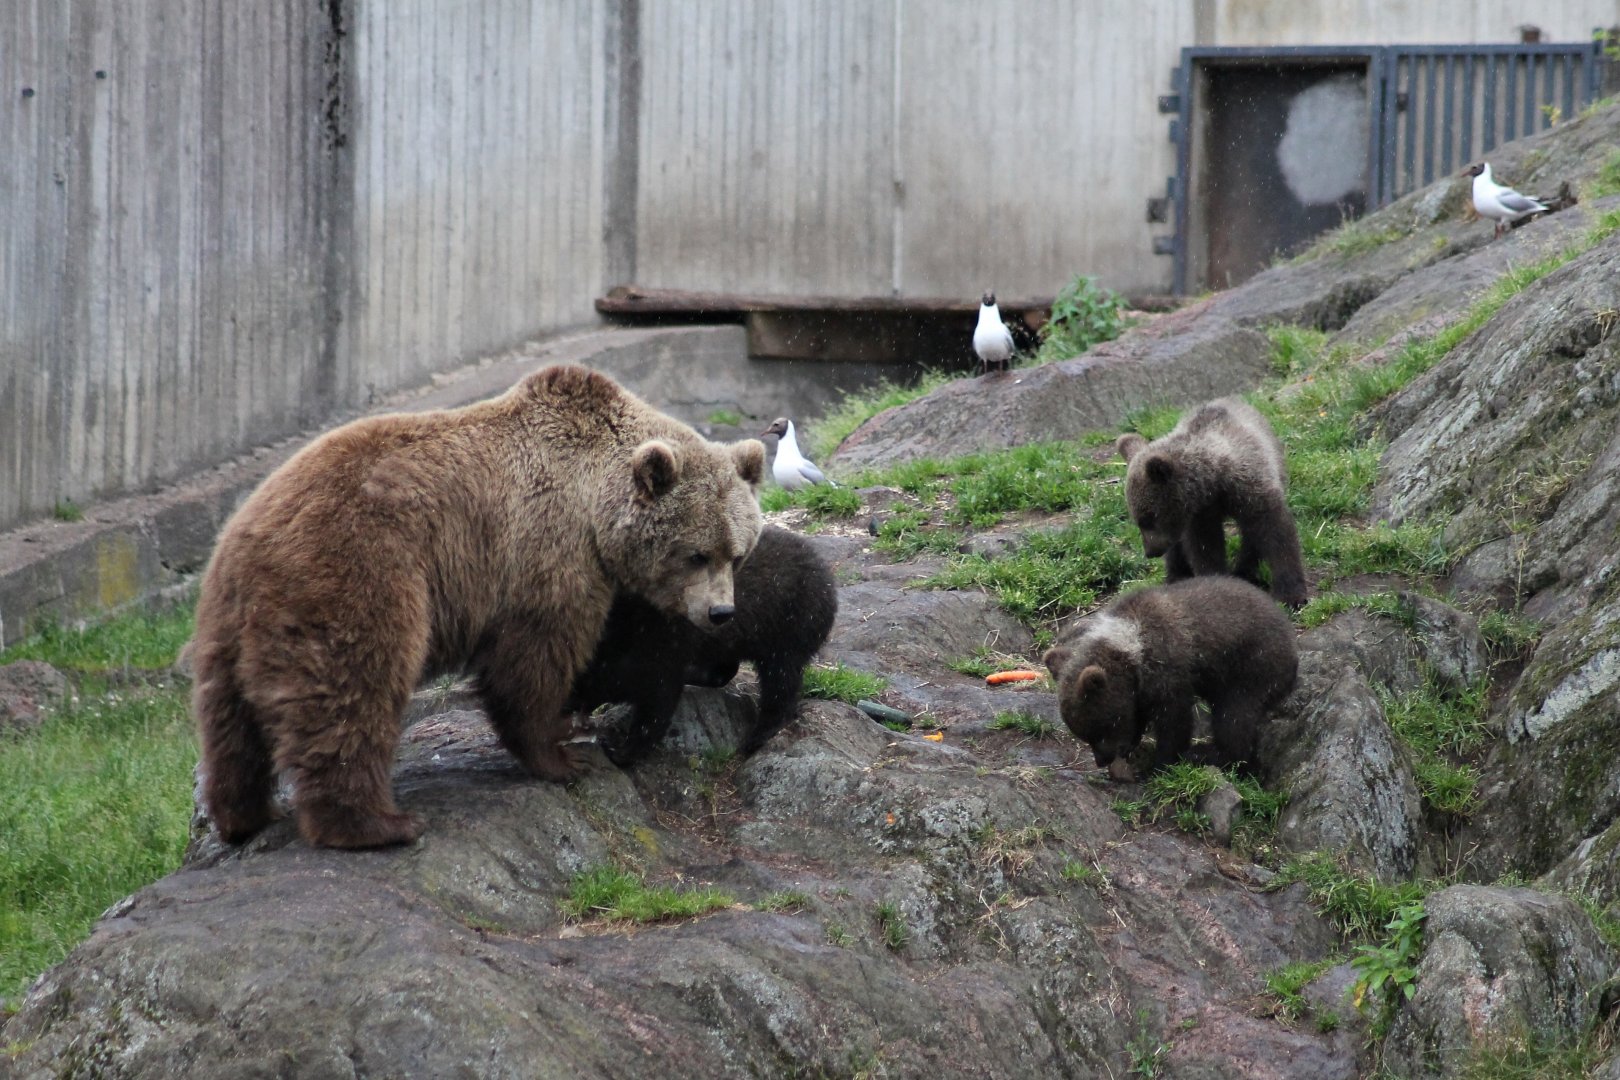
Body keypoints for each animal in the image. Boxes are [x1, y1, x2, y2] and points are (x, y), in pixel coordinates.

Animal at [190, 363, 766, 849]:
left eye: (737, 553)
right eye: (696, 554)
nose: (720, 613)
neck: (595, 504)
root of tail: (249, 536)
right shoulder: (546, 552)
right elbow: (532, 659)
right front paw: (560, 755)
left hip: (229, 620)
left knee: (228, 719)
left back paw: (242, 816)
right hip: (358, 572)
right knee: (354, 686)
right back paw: (377, 824)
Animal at [569, 526, 838, 764]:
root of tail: (828, 580)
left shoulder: (660, 652)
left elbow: (656, 709)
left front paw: (620, 750)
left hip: (790, 629)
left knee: (781, 683)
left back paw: (758, 736)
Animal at [1042, 576, 1298, 776]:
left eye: (1100, 729)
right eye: (1084, 735)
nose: (1101, 760)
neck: (1130, 650)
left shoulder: (1167, 669)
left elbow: (1173, 720)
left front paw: (1160, 763)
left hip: (1251, 668)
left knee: (1235, 716)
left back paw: (1209, 754)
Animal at [1116, 397, 1308, 608]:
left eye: (1148, 518)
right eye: (1138, 520)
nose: (1150, 551)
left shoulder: (1251, 489)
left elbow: (1277, 534)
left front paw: (1290, 595)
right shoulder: (1200, 514)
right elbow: (1205, 548)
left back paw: (1244, 570)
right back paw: (1178, 575)